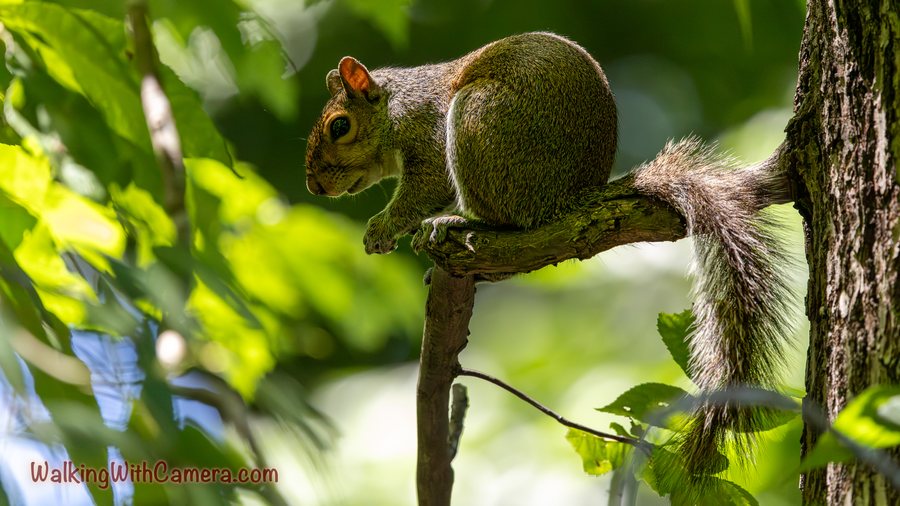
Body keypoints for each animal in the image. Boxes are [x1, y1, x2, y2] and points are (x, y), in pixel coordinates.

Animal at [305, 32, 794, 490]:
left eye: (340, 126)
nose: (315, 187)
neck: (395, 107)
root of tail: (565, 199)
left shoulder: (425, 135)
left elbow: (425, 187)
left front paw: (382, 227)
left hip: (479, 122)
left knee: (506, 220)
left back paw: (457, 221)